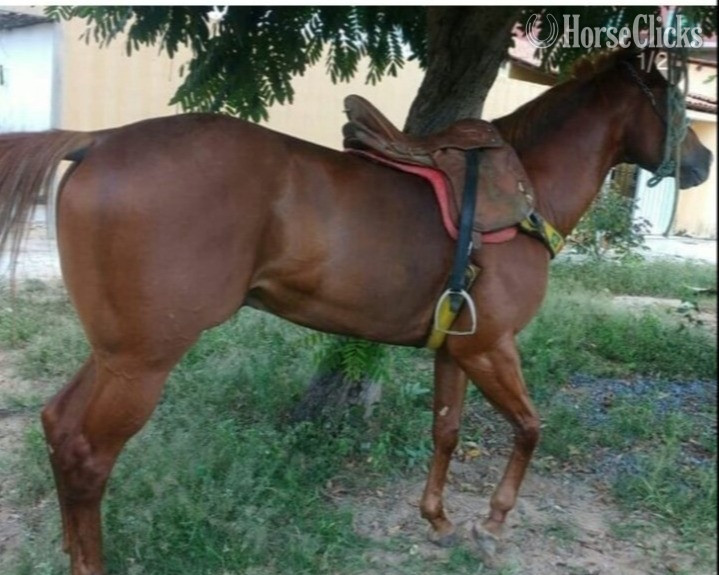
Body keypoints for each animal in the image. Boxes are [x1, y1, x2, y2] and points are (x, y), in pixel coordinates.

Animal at [0, 48, 711, 574]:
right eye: (669, 97)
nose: (702, 161)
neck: (527, 190)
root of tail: (97, 142)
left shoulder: (459, 348)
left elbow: (447, 432)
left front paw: (440, 521)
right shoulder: (493, 346)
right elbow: (531, 428)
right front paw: (491, 523)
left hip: (115, 353)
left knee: (59, 426)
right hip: (141, 363)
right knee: (87, 453)